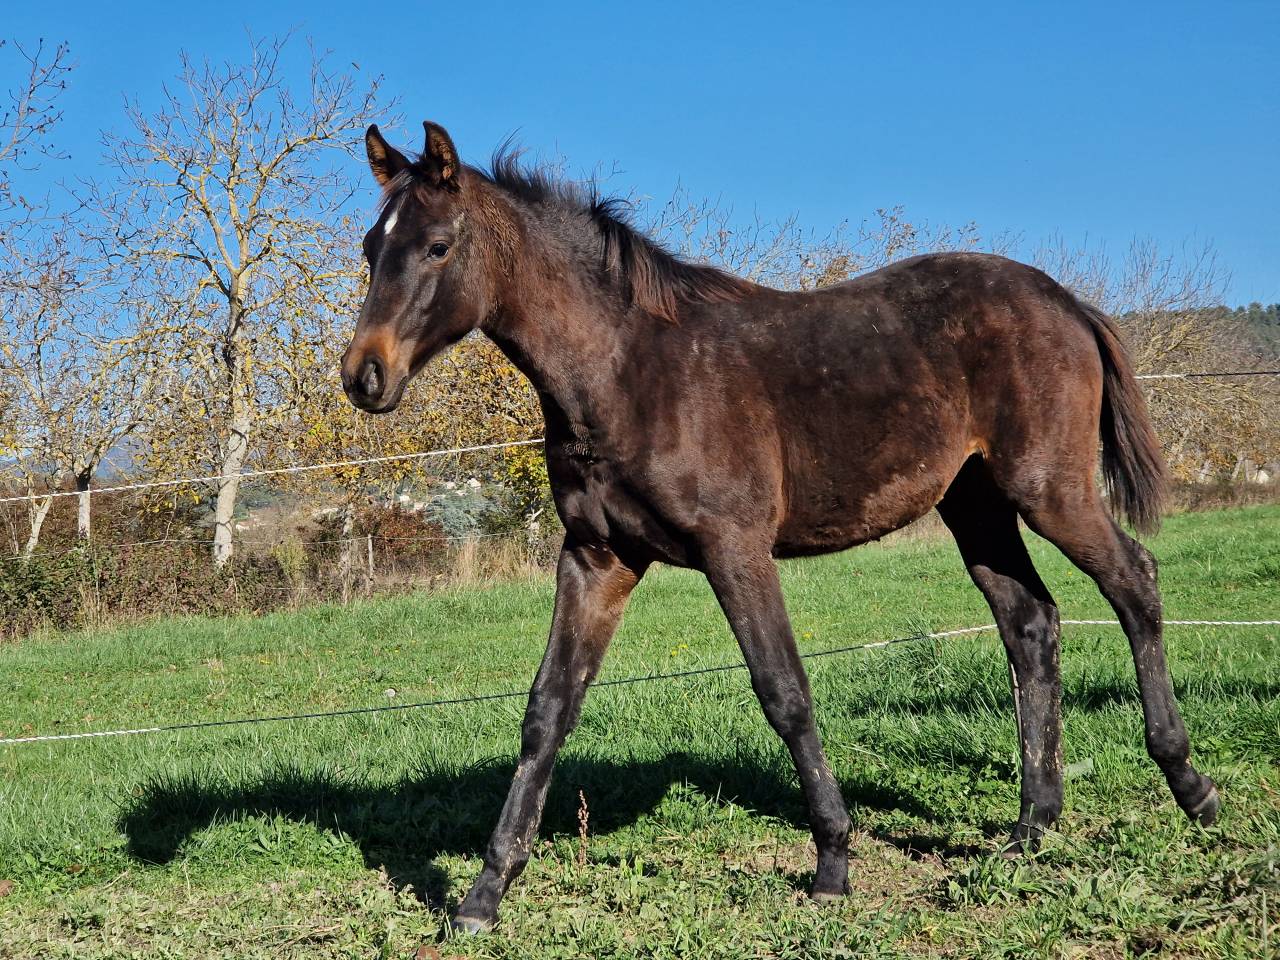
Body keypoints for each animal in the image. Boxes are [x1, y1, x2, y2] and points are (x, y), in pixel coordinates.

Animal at [340, 121, 1219, 933]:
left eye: (438, 246)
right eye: (371, 248)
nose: (363, 376)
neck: (629, 372)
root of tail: (1064, 300)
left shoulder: (737, 551)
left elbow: (784, 692)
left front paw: (833, 863)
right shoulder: (596, 558)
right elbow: (547, 710)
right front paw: (483, 895)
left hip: (1049, 489)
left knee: (1134, 581)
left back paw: (1192, 788)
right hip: (975, 504)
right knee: (1030, 621)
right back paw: (1032, 826)